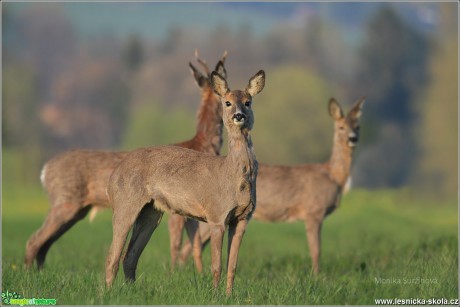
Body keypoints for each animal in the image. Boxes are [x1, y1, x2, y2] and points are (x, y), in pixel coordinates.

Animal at [23, 51, 228, 272]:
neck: (201, 144)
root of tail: (45, 170)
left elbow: (195, 243)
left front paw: (199, 274)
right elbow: (179, 243)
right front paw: (175, 273)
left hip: (76, 209)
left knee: (44, 244)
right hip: (65, 200)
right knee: (34, 241)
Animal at [103, 68, 262, 296]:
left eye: (248, 102)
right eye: (227, 102)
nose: (238, 115)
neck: (233, 175)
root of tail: (113, 176)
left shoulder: (242, 219)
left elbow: (233, 265)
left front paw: (229, 295)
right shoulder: (216, 215)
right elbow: (217, 265)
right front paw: (215, 295)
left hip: (151, 212)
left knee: (130, 256)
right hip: (125, 202)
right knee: (112, 255)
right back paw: (107, 293)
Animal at [174, 97, 364, 274]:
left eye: (358, 126)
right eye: (341, 127)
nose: (353, 138)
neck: (333, 175)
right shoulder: (313, 211)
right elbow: (316, 250)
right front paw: (316, 276)